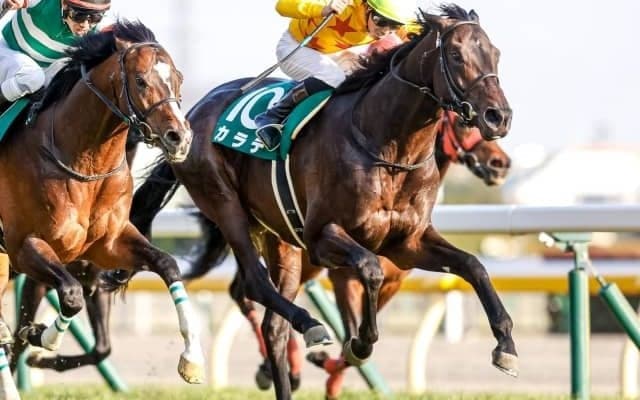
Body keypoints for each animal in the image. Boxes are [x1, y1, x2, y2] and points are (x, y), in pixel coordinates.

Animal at [0, 20, 204, 396]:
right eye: (140, 80)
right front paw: (41, 336)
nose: (180, 138)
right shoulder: (25, 247)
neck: (86, 163)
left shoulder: (106, 247)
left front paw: (192, 357)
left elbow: (167, 265)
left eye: (179, 78)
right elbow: (69, 296)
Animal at [126, 5, 515, 399]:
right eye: (456, 55)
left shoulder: (407, 244)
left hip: (279, 237)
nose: (499, 117)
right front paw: (359, 343)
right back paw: (308, 325)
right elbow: (369, 272)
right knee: (253, 284)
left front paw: (505, 347)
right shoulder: (321, 239)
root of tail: (191, 113)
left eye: (496, 54)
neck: (388, 147)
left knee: (273, 327)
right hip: (225, 204)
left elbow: (473, 266)